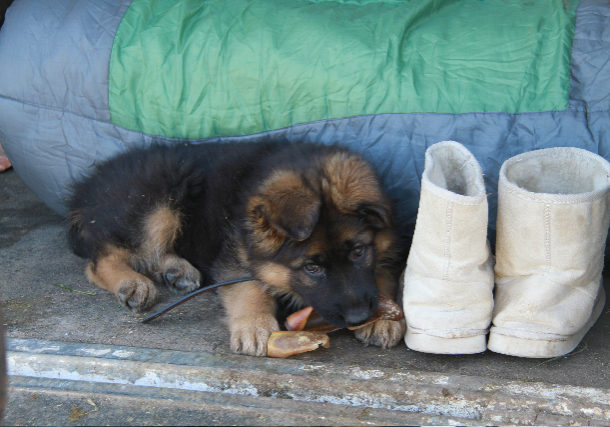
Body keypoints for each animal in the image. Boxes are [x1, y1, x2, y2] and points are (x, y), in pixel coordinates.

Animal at [67, 142, 404, 356]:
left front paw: (386, 319)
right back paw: (133, 283)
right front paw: (255, 325)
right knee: (101, 259)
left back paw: (176, 270)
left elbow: (383, 273)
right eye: (312, 268)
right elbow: (247, 288)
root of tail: (85, 190)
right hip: (162, 190)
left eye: (359, 252)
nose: (360, 316)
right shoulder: (233, 253)